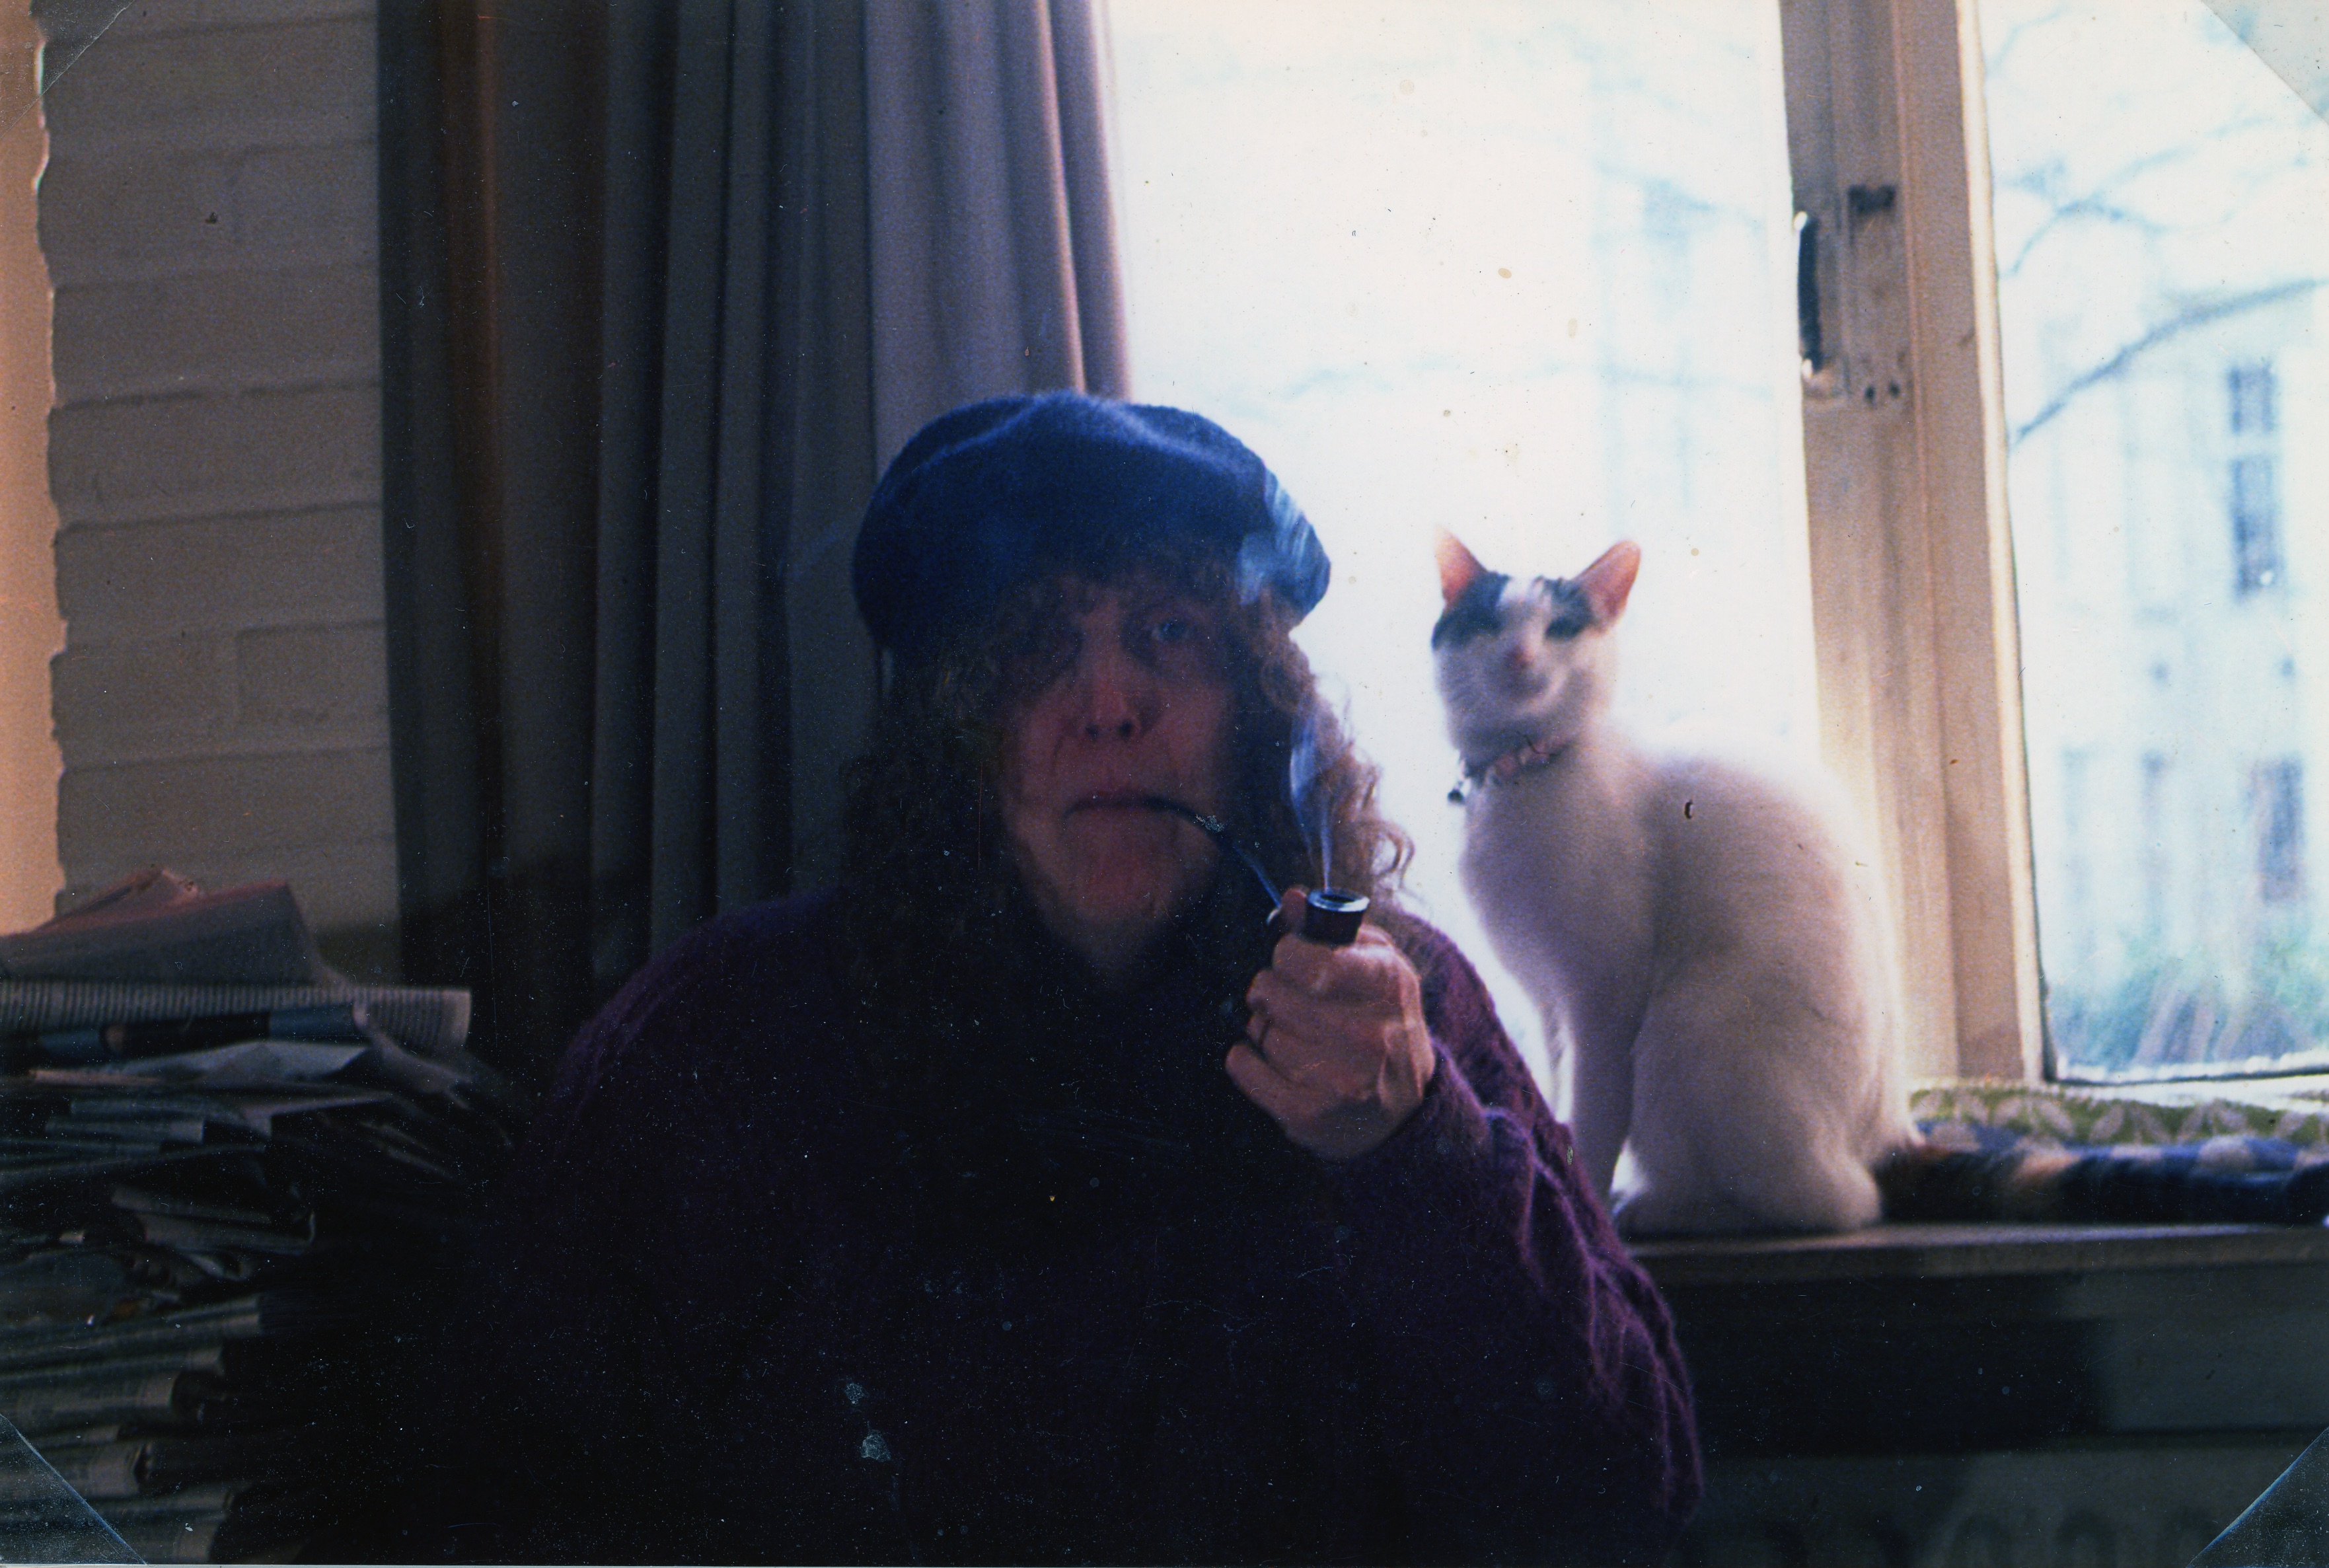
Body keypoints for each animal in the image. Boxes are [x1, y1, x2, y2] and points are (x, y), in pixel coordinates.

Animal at [1434, 538, 1909, 1239]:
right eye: (1489, 624)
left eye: (1559, 629)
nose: (1519, 655)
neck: (1520, 774)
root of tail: (1883, 1140)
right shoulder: (1549, 1004)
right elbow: (1557, 1101)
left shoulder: (1600, 997)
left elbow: (1591, 1120)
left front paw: (1590, 1209)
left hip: (1681, 1028)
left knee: (1818, 1205)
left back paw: (1650, 1210)